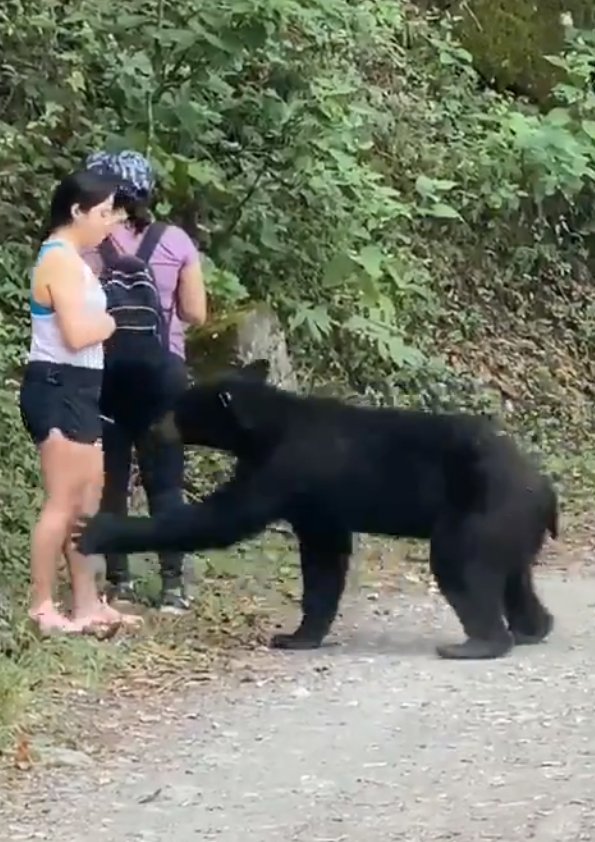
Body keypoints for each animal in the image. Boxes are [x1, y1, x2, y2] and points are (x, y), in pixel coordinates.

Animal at [75, 358, 560, 660]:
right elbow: (324, 560)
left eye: (179, 409)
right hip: (510, 525)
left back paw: (477, 642)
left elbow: (223, 519)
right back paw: (533, 627)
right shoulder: (317, 503)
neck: (267, 429)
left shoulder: (286, 467)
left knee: (460, 564)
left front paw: (99, 528)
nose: (152, 428)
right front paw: (297, 636)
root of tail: (544, 489)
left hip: (482, 510)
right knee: (514, 577)